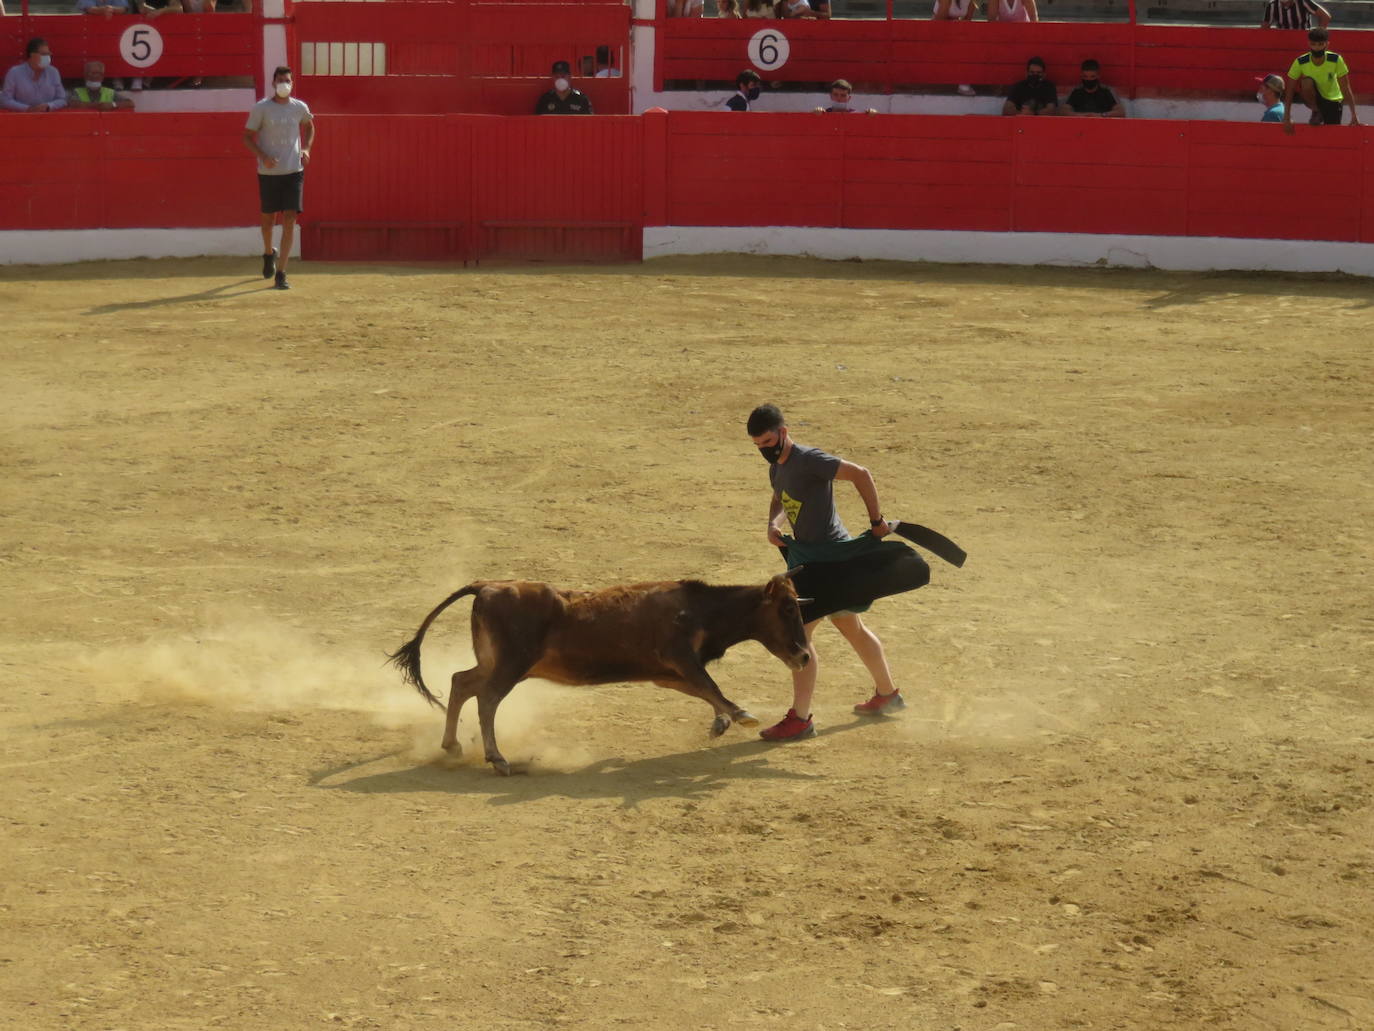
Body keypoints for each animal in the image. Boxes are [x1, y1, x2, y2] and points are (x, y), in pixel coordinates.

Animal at [387, 574, 807, 775]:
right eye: (788, 608)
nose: (803, 655)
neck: (700, 609)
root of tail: (488, 585)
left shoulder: (666, 673)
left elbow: (704, 691)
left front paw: (721, 721)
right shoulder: (680, 658)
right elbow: (712, 686)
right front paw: (742, 716)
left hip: (499, 663)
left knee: (462, 682)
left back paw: (452, 745)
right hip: (510, 666)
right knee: (487, 699)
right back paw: (498, 759)